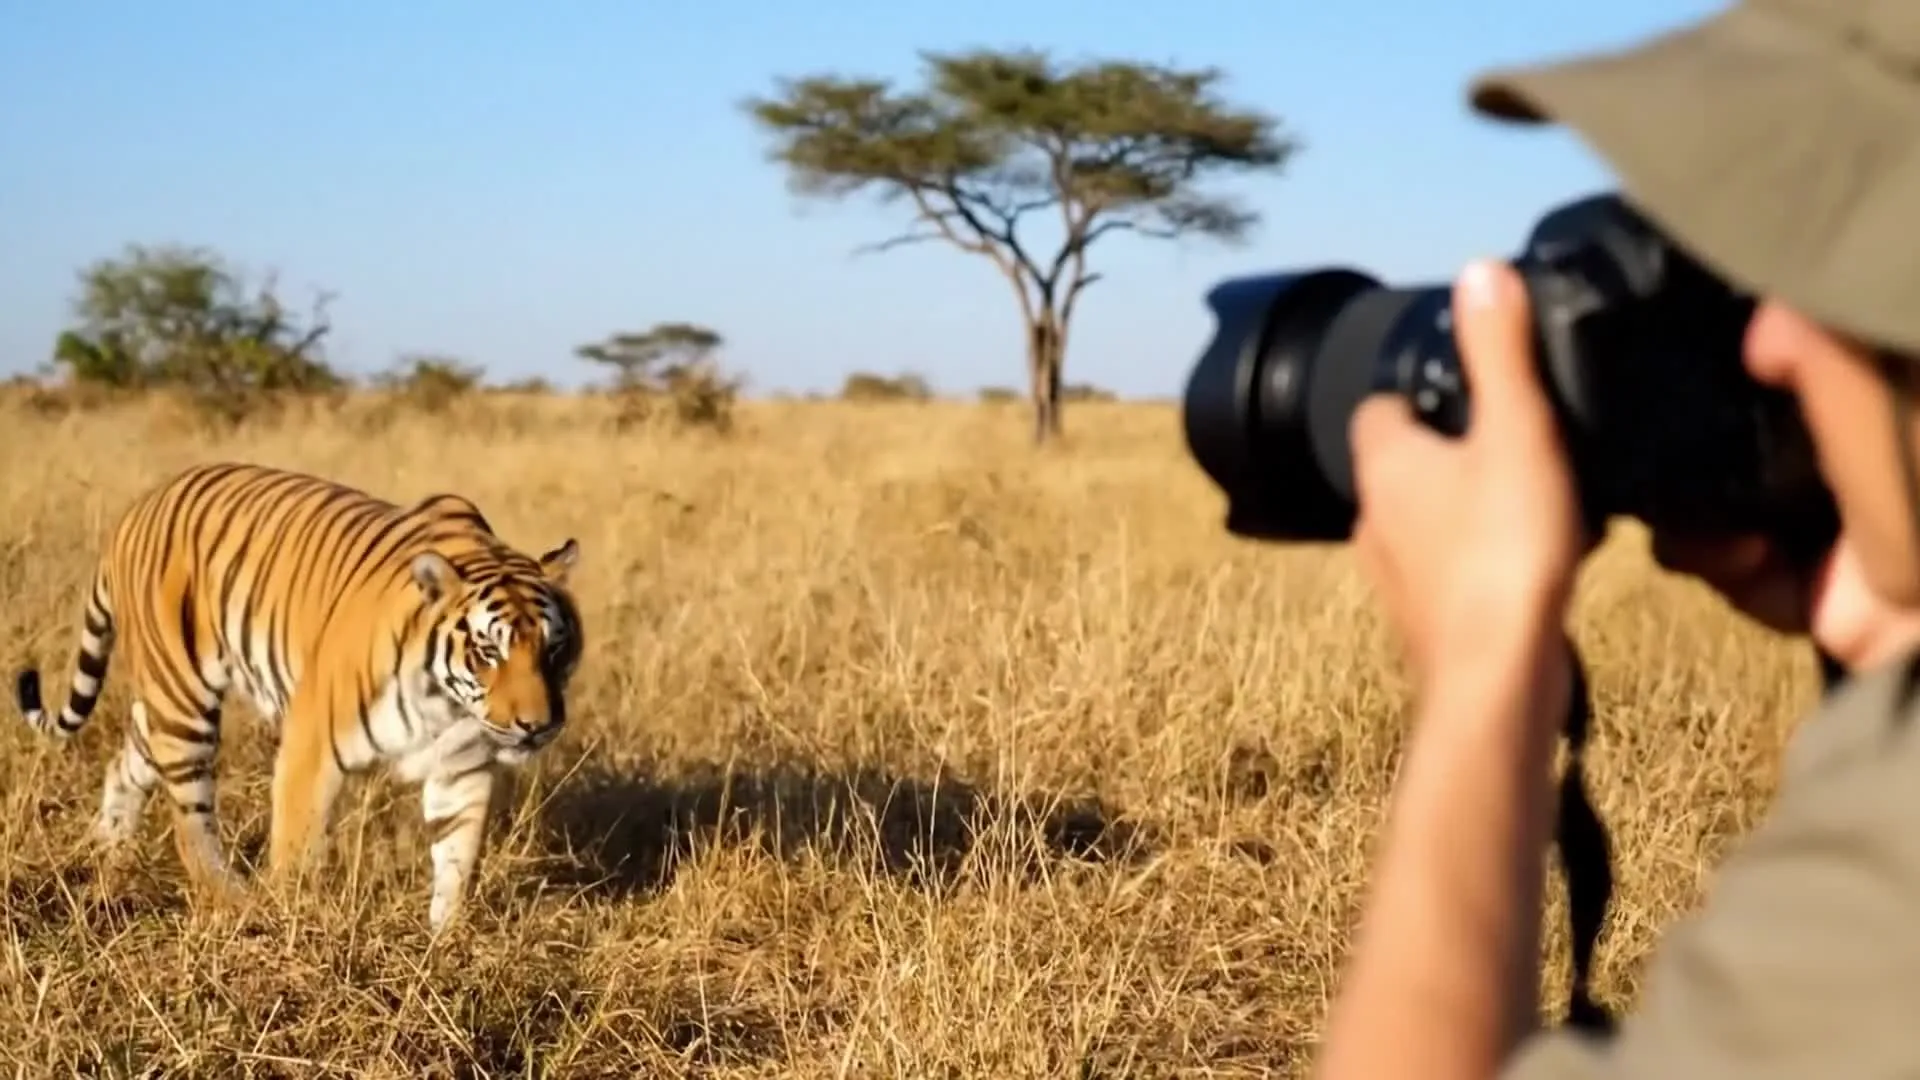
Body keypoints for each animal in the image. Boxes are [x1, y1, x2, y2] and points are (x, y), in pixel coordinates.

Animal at [13, 461, 585, 931]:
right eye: (489, 651)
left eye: (553, 650)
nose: (537, 726)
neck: (444, 705)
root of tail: (135, 510)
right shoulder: (313, 746)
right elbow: (297, 853)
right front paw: (290, 929)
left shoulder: (462, 766)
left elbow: (456, 860)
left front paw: (444, 941)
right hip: (184, 702)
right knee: (189, 821)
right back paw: (233, 900)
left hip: (160, 706)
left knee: (124, 765)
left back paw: (107, 851)